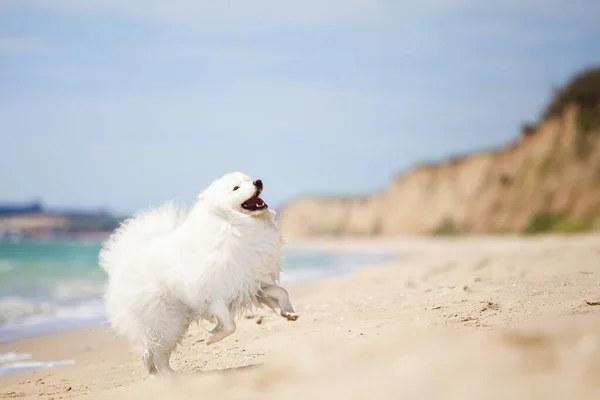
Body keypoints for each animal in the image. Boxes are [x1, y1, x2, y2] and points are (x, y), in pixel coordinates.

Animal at [98, 172, 300, 376]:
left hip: (174, 321)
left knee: (155, 352)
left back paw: (163, 374)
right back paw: (168, 376)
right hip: (166, 319)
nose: (258, 182)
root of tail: (121, 261)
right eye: (236, 188)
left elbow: (281, 292)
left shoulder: (252, 283)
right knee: (154, 351)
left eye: (248, 179)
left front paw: (288, 312)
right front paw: (211, 337)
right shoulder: (213, 295)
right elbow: (230, 325)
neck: (233, 223)